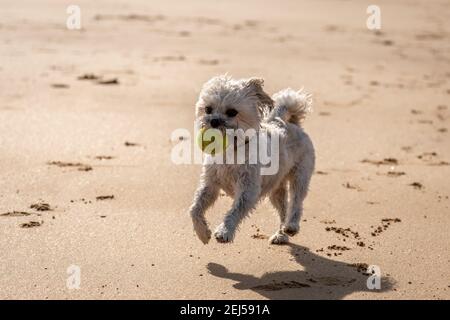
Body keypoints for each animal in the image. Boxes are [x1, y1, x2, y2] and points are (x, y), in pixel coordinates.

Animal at [188, 75, 314, 245]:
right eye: (208, 109)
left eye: (232, 112)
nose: (213, 121)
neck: (232, 151)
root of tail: (291, 123)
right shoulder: (210, 185)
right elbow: (195, 208)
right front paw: (202, 232)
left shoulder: (248, 190)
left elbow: (235, 211)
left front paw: (224, 231)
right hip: (276, 189)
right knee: (283, 208)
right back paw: (281, 235)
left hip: (300, 177)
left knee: (296, 202)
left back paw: (291, 226)